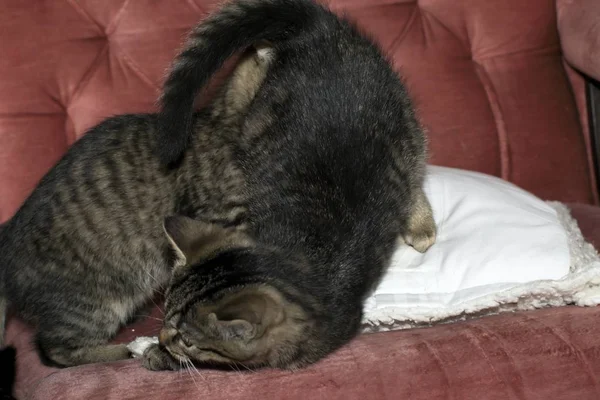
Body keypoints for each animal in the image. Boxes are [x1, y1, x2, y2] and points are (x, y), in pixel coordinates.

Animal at [143, 0, 438, 370]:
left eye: (187, 339)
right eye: (166, 309)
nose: (161, 336)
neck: (302, 255)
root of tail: (322, 27)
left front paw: (161, 355)